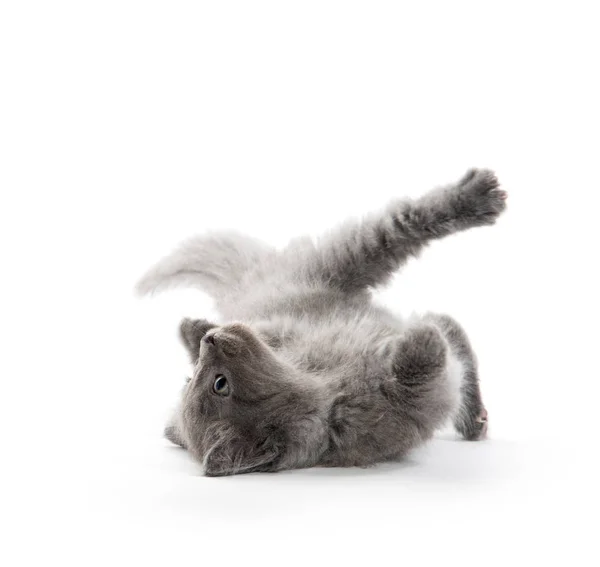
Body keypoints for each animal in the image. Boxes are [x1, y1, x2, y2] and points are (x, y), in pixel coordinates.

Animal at [139, 169, 506, 474]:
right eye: (220, 384)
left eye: (194, 378)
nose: (210, 341)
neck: (323, 382)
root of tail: (248, 283)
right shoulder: (405, 405)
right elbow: (420, 366)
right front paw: (418, 339)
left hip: (330, 268)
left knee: (403, 231)